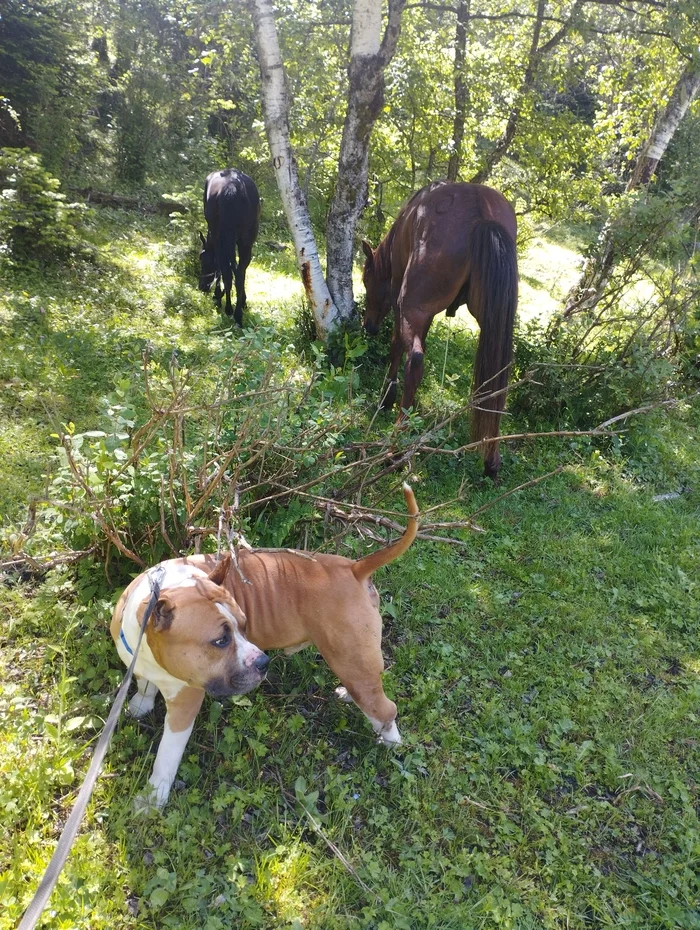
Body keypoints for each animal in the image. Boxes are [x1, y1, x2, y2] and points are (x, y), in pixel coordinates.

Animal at [112, 482, 418, 808]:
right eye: (221, 640)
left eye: (244, 625)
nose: (263, 662)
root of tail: (355, 568)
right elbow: (145, 684)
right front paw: (141, 702)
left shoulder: (185, 705)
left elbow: (166, 757)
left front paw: (151, 798)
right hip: (352, 661)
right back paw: (350, 695)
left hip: (353, 655)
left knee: (384, 708)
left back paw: (390, 744)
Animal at [198, 169, 262, 324]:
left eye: (202, 259)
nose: (202, 286)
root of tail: (233, 188)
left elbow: (220, 268)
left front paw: (217, 296)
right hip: (246, 240)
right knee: (240, 273)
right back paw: (239, 313)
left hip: (223, 237)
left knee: (228, 271)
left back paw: (228, 308)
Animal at [364, 180, 516, 474]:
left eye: (366, 281)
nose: (369, 326)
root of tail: (482, 215)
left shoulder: (402, 299)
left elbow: (396, 344)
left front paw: (388, 394)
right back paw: (491, 460)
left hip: (412, 306)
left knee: (415, 360)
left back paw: (395, 451)